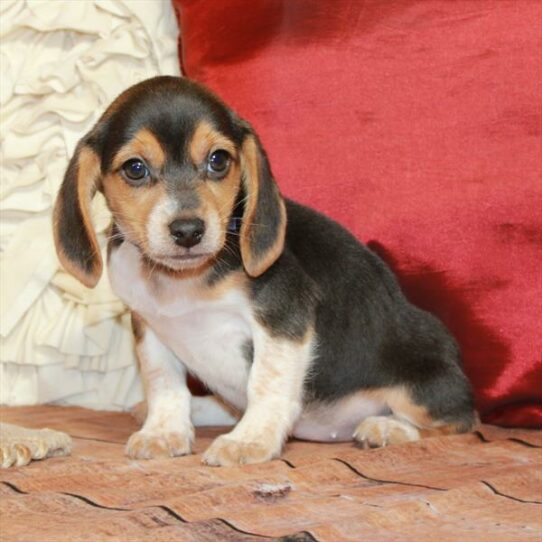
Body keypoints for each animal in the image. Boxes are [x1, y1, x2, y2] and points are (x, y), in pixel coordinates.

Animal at [52, 76, 476, 468]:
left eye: (218, 160)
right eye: (135, 168)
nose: (188, 230)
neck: (181, 282)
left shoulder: (282, 315)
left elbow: (265, 383)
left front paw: (250, 440)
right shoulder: (150, 327)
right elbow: (165, 384)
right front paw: (164, 431)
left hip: (419, 388)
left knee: (460, 422)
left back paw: (387, 427)